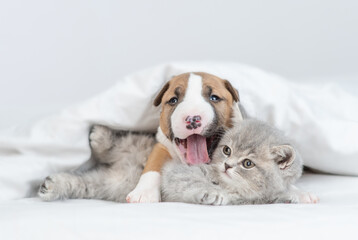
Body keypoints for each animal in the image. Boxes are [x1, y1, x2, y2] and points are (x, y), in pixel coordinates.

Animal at [39, 116, 318, 204]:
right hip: (141, 147)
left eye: (247, 163)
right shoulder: (178, 171)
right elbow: (191, 184)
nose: (227, 165)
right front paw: (212, 194)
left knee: (83, 182)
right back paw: (99, 136)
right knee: (120, 143)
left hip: (110, 184)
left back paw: (51, 186)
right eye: (227, 151)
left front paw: (299, 196)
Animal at [126, 71, 241, 202]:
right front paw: (144, 193)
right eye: (173, 100)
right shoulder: (163, 145)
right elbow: (153, 163)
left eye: (214, 98)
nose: (192, 118)